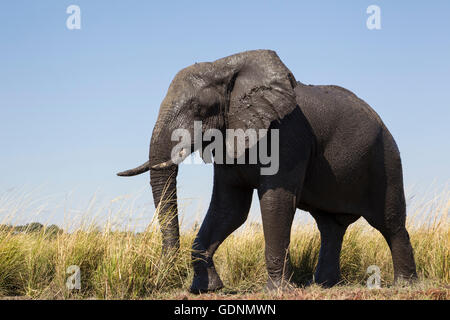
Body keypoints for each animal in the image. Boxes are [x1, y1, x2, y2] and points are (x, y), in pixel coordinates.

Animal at [117, 50, 418, 292]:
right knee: (331, 226)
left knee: (390, 223)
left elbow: (275, 201)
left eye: (198, 108)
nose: (159, 276)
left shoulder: (287, 135)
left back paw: (404, 285)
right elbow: (229, 208)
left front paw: (277, 290)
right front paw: (206, 289)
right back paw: (323, 285)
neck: (225, 67)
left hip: (386, 159)